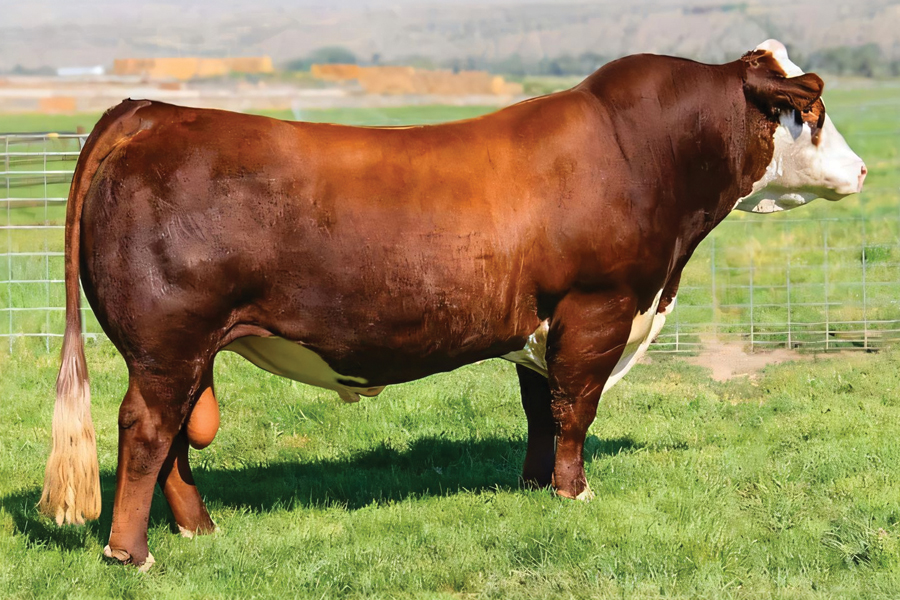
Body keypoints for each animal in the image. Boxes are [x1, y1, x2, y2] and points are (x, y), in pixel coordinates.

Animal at [40, 40, 865, 569]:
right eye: (815, 113)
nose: (860, 170)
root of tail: (151, 110)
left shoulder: (545, 324)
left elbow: (541, 410)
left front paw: (534, 486)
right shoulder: (597, 308)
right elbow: (576, 409)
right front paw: (575, 492)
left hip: (183, 347)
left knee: (176, 439)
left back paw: (200, 530)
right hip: (168, 340)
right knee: (147, 431)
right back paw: (131, 552)